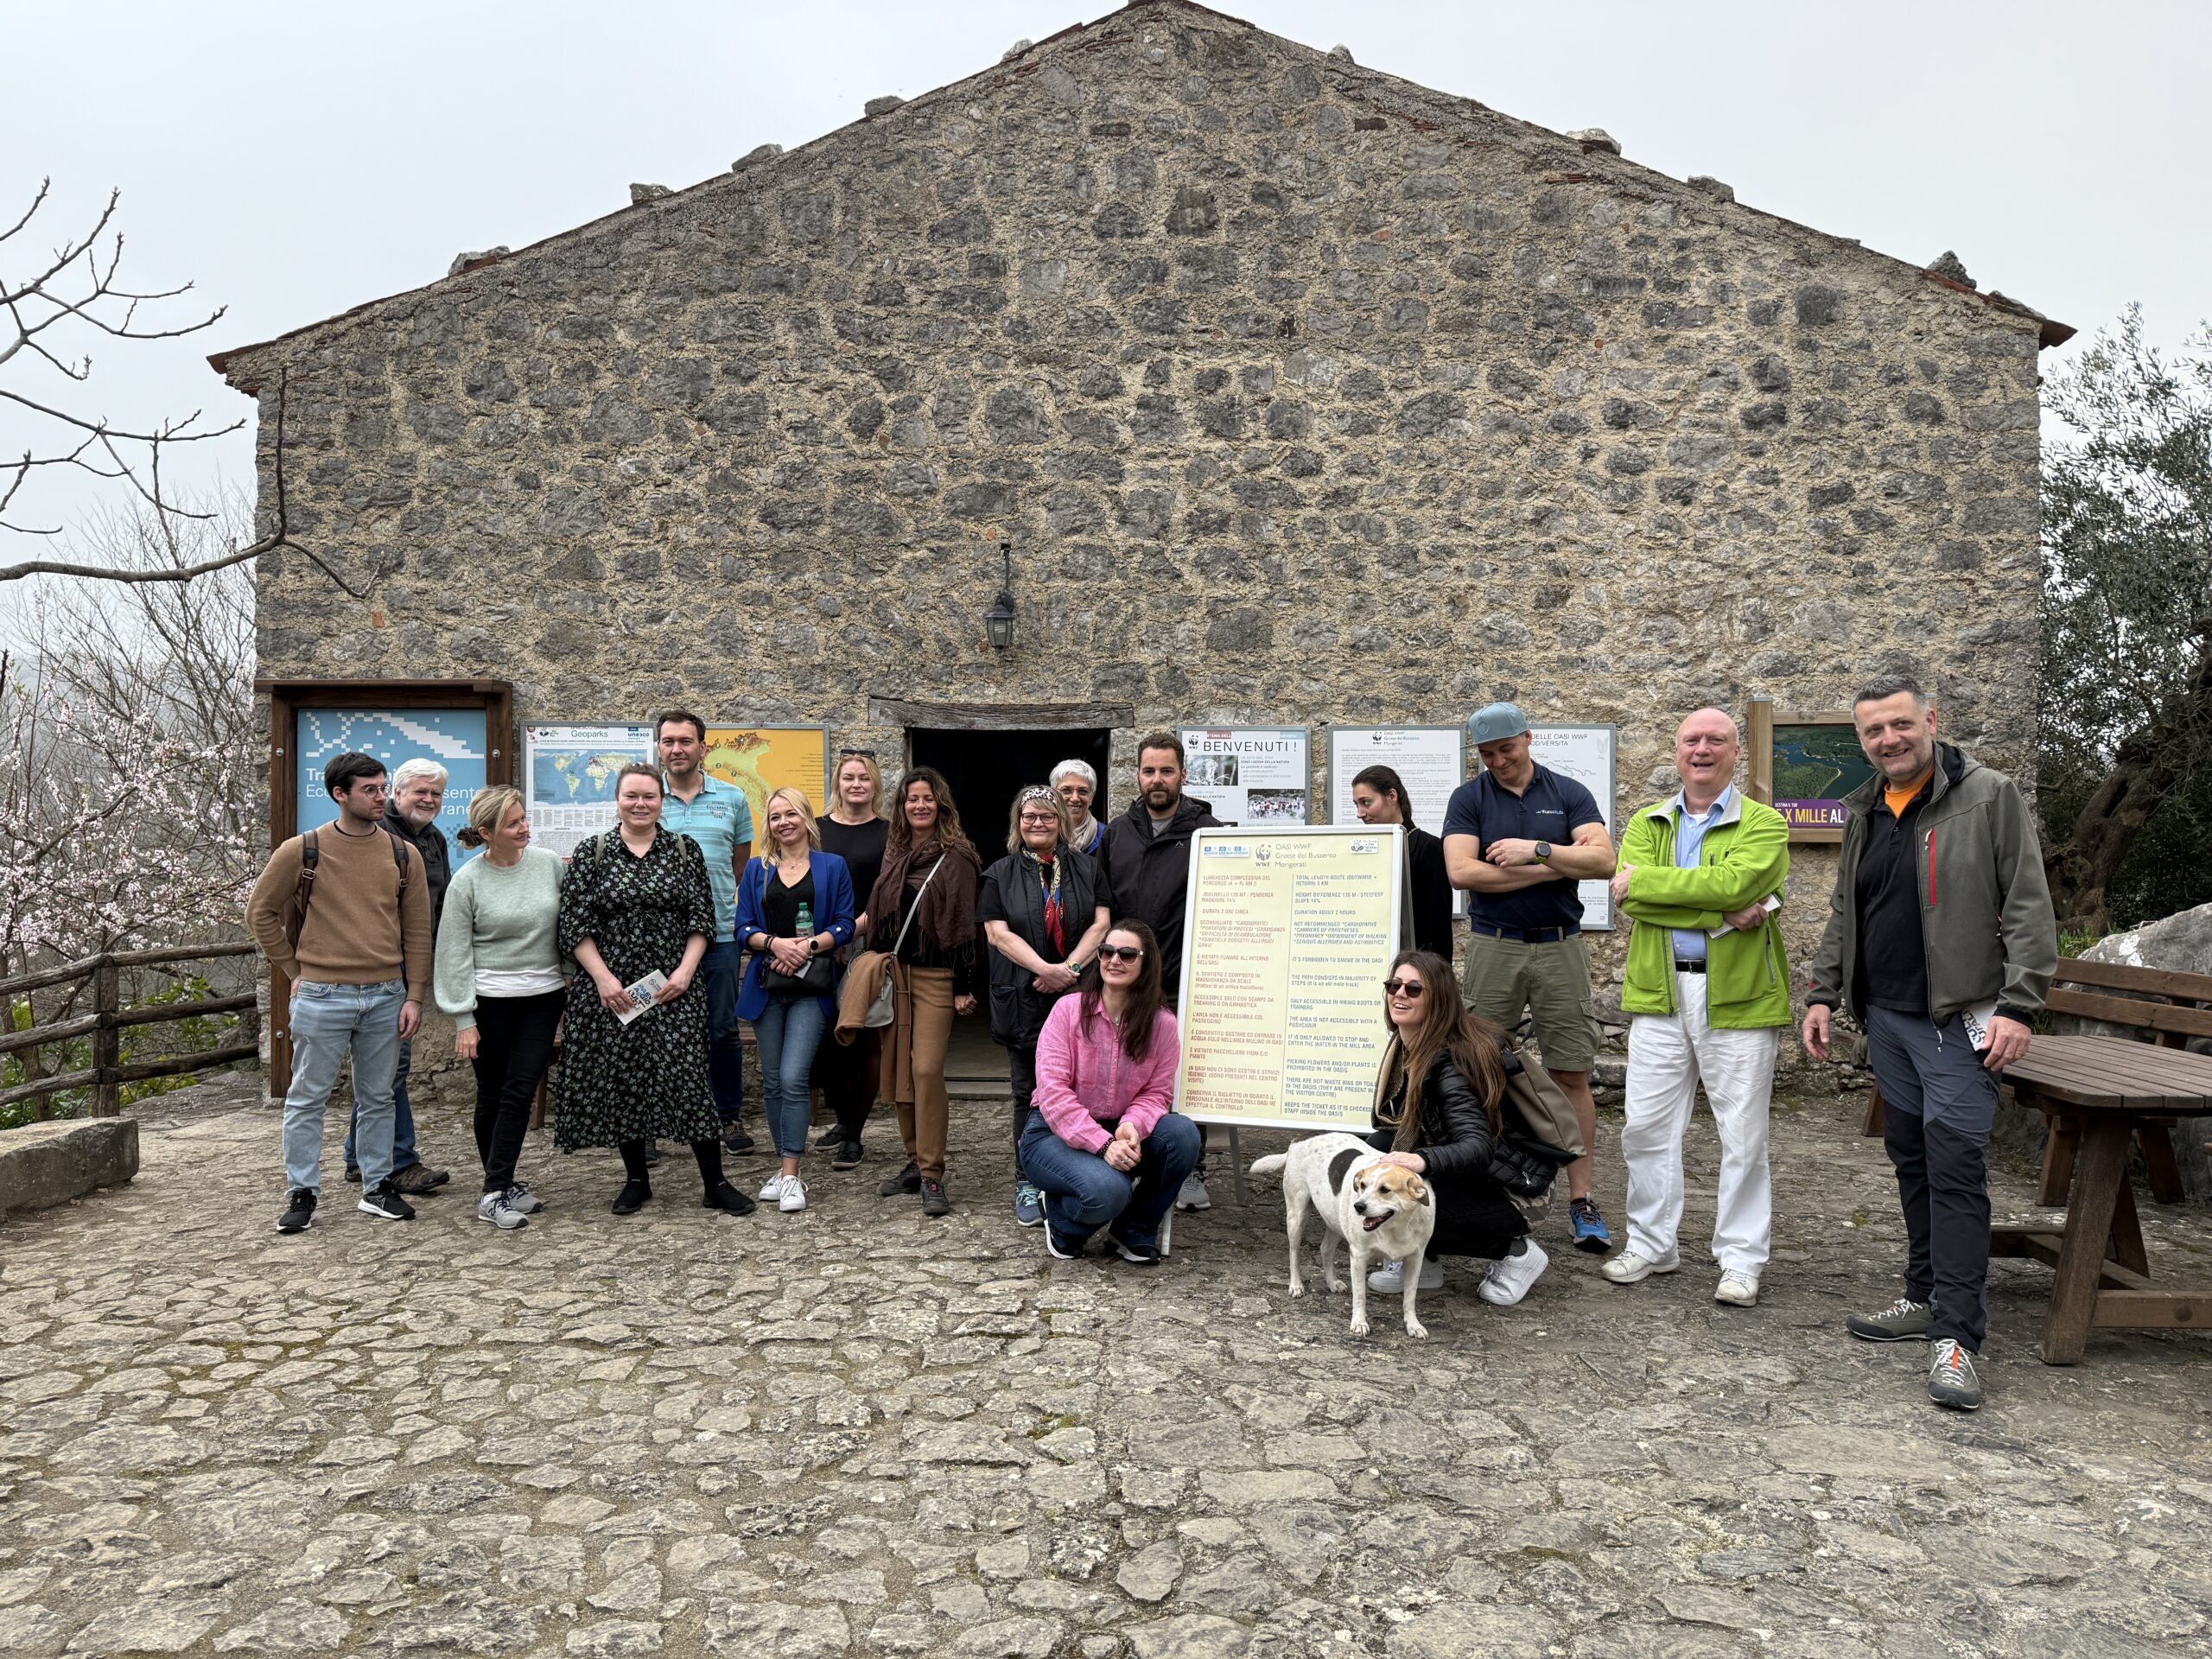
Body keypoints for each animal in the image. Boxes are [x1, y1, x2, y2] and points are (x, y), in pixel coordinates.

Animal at [1247, 1141, 1433, 1344]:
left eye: (1384, 1189)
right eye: (1362, 1185)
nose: (1358, 1206)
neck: (1396, 1227)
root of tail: (1299, 1138)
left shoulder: (1415, 1258)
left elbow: (1410, 1297)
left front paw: (1413, 1325)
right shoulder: (1358, 1256)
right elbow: (1360, 1295)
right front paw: (1359, 1323)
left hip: (1335, 1220)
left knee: (1325, 1249)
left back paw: (1332, 1282)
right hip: (1297, 1215)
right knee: (1294, 1252)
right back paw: (1296, 1285)